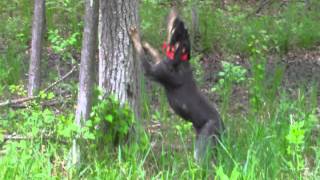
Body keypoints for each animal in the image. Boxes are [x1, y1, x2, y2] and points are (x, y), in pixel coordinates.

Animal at [129, 9, 224, 162]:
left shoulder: (152, 71)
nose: (177, 15)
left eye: (177, 30)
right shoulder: (160, 62)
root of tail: (223, 126)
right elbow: (154, 51)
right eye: (183, 28)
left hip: (204, 142)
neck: (180, 59)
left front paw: (135, 36)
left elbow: (140, 52)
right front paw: (145, 43)